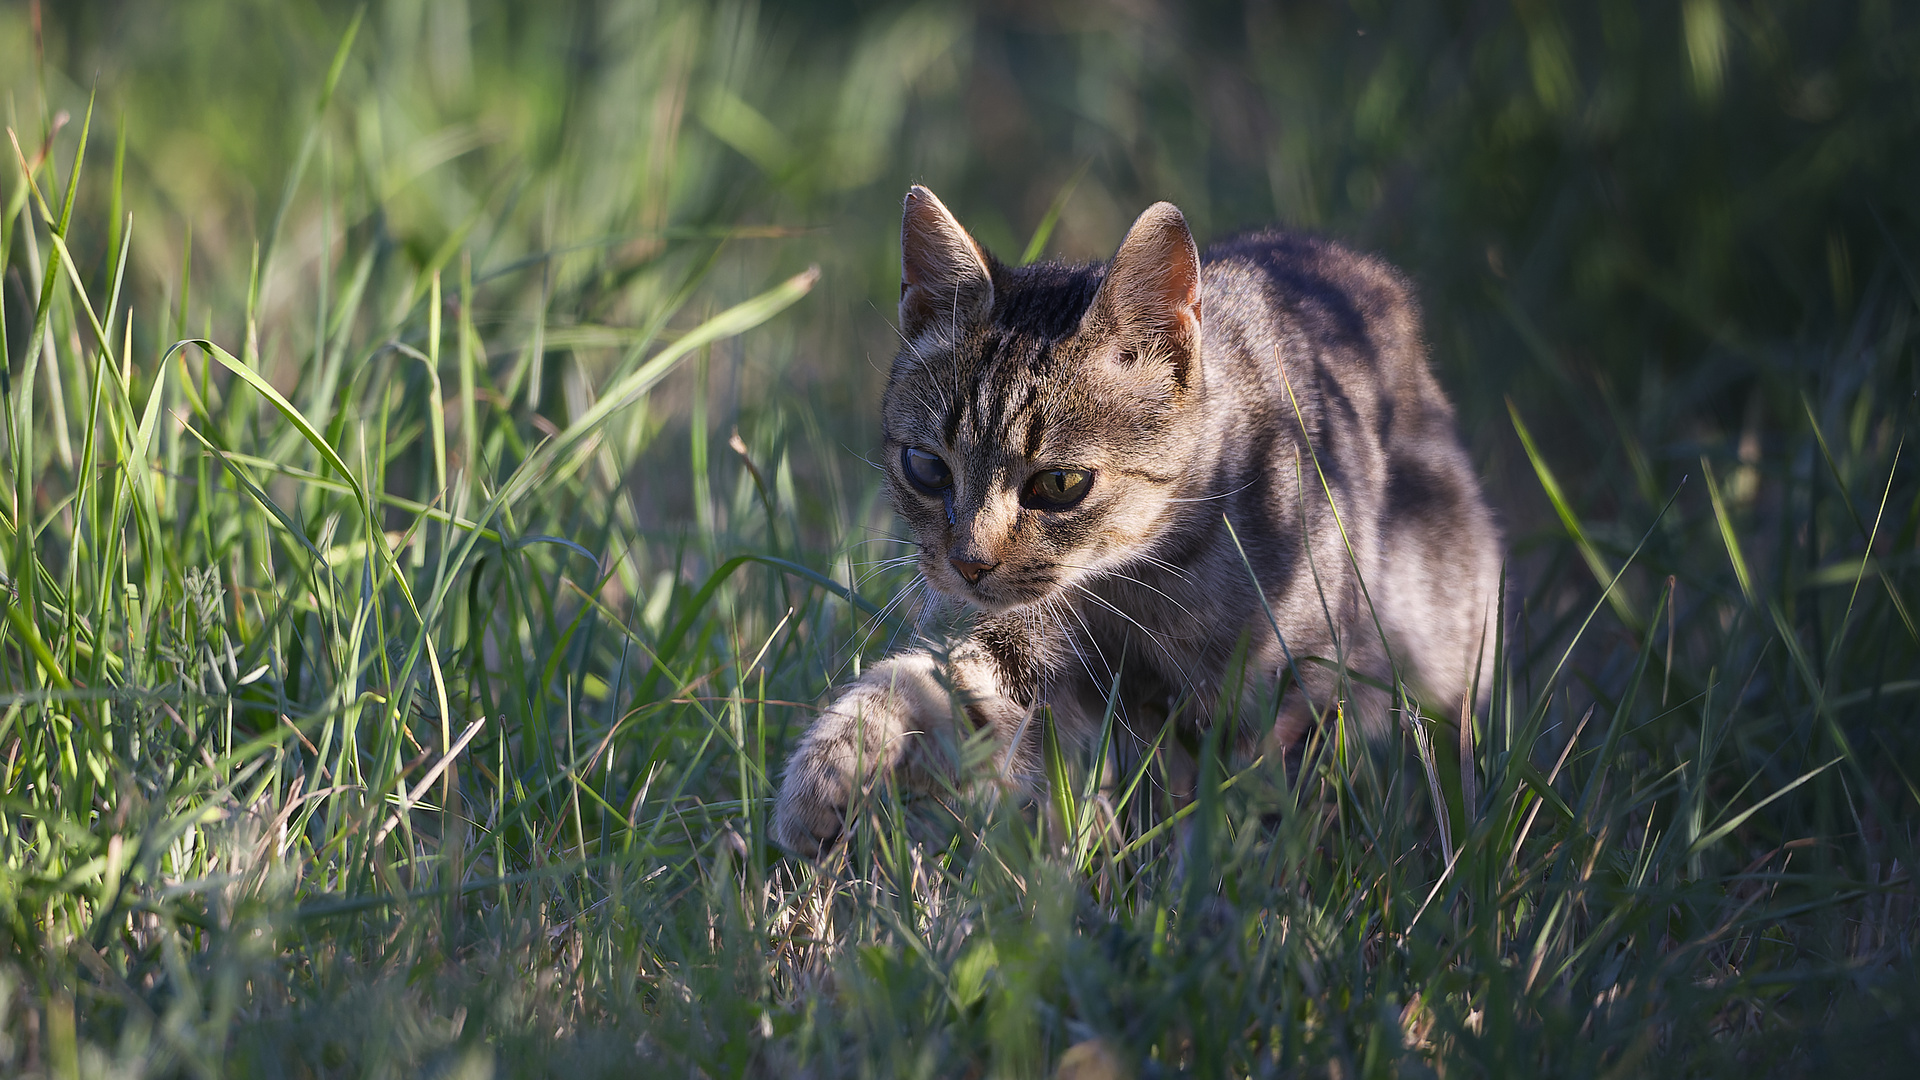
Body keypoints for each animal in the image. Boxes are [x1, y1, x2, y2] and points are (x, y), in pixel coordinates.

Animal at [771, 187, 1505, 857]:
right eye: (926, 468)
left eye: (1060, 484)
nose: (968, 564)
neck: (1143, 577)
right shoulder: (1033, 659)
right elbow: (926, 685)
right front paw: (825, 776)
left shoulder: (1295, 685)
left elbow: (1254, 811)